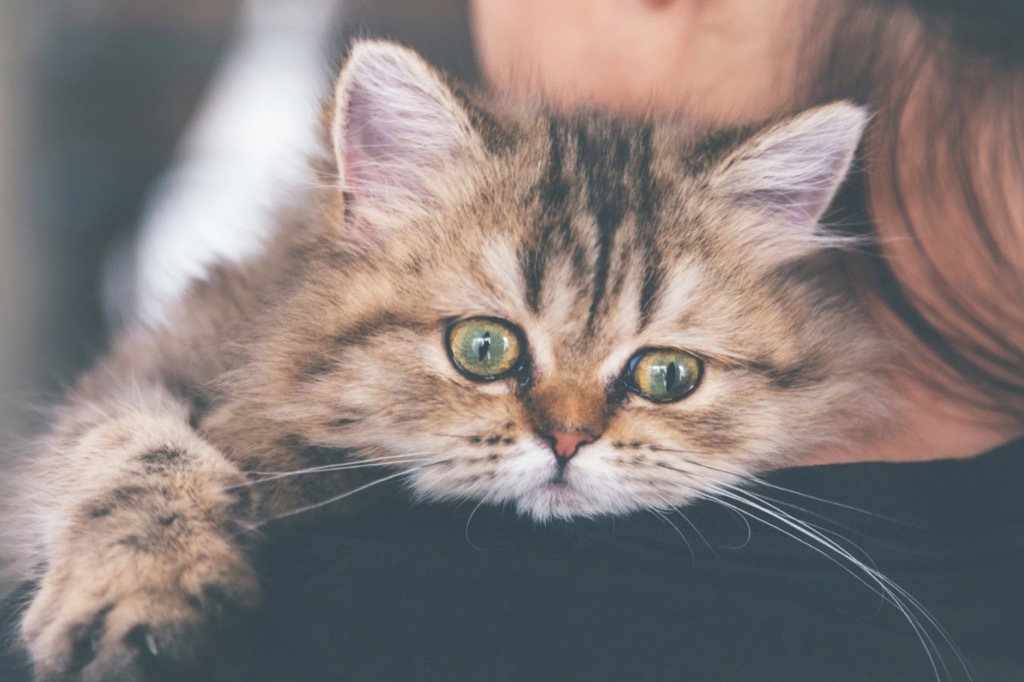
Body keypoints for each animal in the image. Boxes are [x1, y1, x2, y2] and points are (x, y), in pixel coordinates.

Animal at [6, 39, 888, 675]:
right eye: (483, 349)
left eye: (667, 376)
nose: (569, 441)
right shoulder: (131, 377)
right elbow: (136, 454)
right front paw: (142, 595)